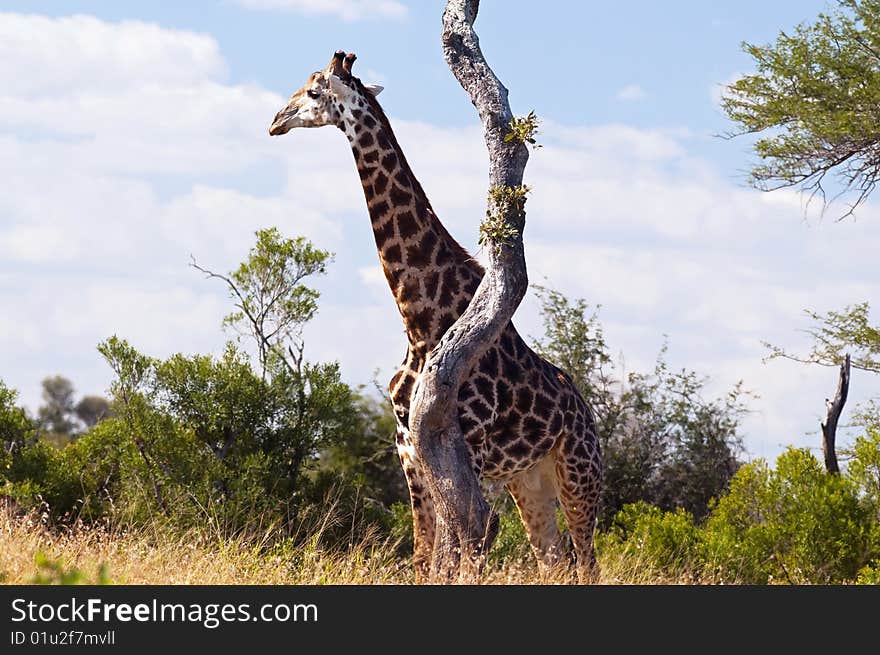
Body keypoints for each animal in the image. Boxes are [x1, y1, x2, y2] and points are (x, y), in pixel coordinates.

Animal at [268, 52, 600, 584]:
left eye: (314, 92)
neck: (419, 320)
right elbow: (424, 554)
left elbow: (463, 542)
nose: (275, 121)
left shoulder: (465, 446)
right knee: (553, 559)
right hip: (530, 480)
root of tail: (589, 415)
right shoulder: (408, 445)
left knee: (585, 559)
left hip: (579, 472)